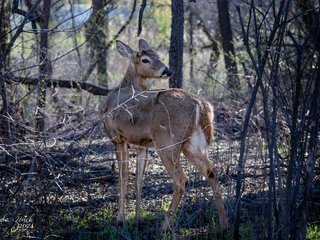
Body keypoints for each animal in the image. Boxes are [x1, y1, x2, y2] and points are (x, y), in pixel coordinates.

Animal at [103, 39, 228, 232]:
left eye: (158, 56)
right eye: (145, 59)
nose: (167, 71)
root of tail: (202, 105)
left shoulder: (118, 138)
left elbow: (123, 177)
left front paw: (120, 220)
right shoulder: (142, 145)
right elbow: (138, 179)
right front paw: (138, 220)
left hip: (167, 143)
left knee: (182, 180)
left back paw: (164, 226)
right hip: (192, 145)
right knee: (211, 172)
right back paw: (224, 225)